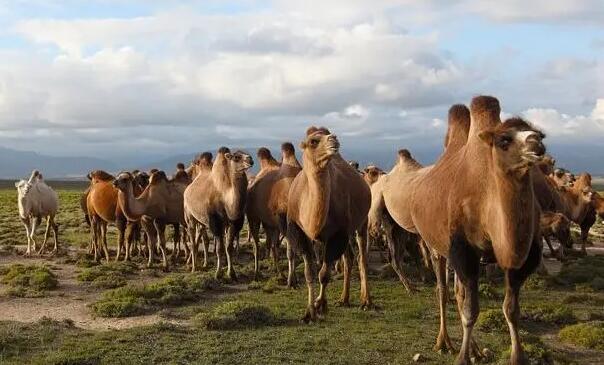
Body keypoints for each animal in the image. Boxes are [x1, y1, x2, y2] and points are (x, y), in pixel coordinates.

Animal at [182, 147, 252, 276]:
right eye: (236, 157)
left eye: (247, 153)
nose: (250, 159)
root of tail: (188, 189)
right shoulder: (215, 222)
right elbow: (219, 249)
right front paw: (218, 273)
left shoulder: (233, 222)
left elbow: (228, 248)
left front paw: (231, 273)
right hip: (189, 217)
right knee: (193, 240)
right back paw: (194, 267)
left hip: (202, 221)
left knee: (201, 239)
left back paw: (202, 263)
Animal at [245, 142, 302, 282]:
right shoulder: (284, 220)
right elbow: (291, 251)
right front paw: (291, 280)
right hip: (253, 217)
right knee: (257, 245)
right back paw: (256, 273)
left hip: (270, 223)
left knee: (273, 245)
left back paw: (279, 273)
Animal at [286, 126, 370, 322]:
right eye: (313, 141)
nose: (334, 139)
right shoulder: (298, 232)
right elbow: (309, 274)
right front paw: (309, 313)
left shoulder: (338, 233)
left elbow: (324, 275)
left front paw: (321, 306)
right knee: (349, 258)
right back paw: (344, 299)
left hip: (361, 224)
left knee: (361, 257)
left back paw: (366, 302)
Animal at [386, 96, 548, 364]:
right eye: (504, 140)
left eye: (539, 134)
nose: (537, 144)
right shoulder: (463, 249)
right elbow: (471, 311)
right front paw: (461, 358)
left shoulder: (521, 259)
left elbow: (511, 310)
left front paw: (518, 357)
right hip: (435, 245)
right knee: (443, 291)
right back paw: (444, 342)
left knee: (459, 292)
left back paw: (474, 349)